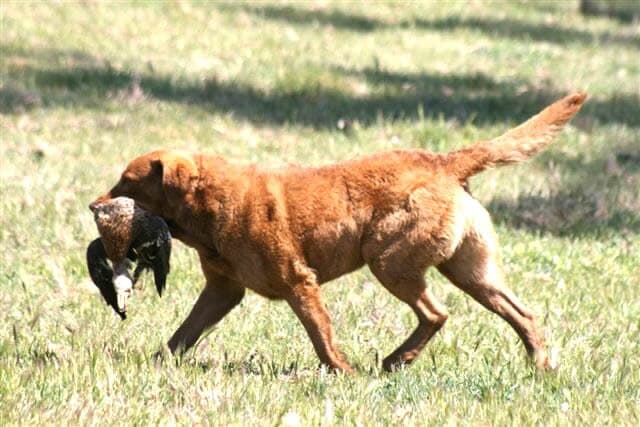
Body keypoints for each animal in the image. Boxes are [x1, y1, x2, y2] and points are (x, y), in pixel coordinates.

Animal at [92, 93, 588, 372]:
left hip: (389, 259)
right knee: (523, 314)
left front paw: (343, 375)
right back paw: (540, 367)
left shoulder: (299, 283)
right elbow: (182, 334)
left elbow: (321, 338)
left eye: (128, 183)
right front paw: (157, 366)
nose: (95, 206)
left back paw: (395, 361)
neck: (212, 207)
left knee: (436, 313)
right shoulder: (223, 291)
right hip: (471, 270)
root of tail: (444, 161)